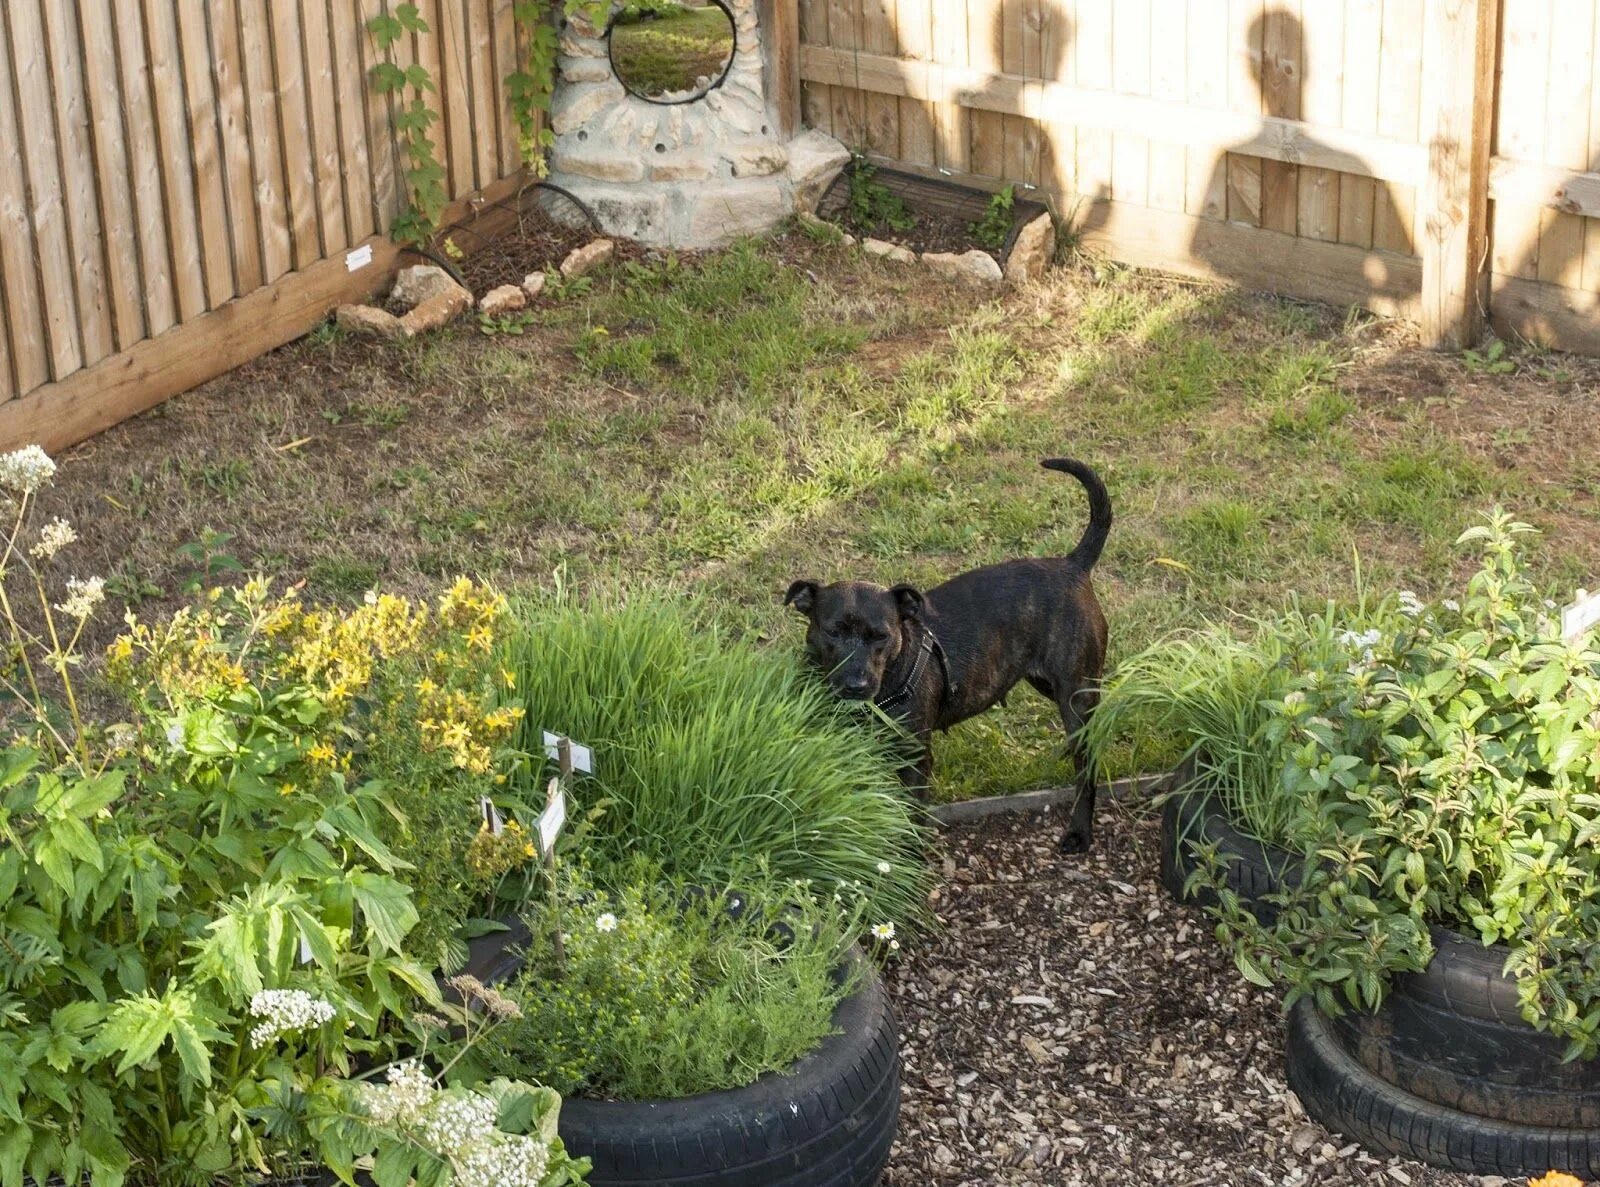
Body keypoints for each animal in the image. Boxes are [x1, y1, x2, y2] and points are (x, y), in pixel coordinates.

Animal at [787, 457, 1113, 857]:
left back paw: (1079, 831)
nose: (856, 684)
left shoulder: (915, 759)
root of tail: (1072, 566)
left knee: (1087, 762)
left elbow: (912, 815)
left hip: (1075, 693)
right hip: (1048, 683)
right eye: (833, 632)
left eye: (881, 635)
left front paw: (909, 860)